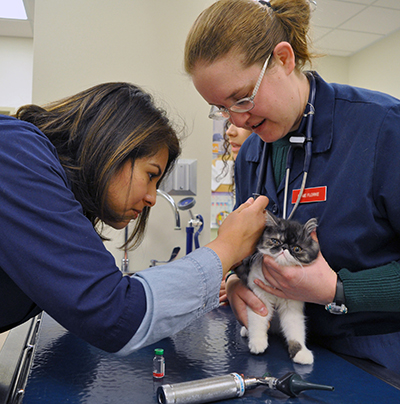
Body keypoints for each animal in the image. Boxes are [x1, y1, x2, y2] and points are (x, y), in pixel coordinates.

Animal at [234, 213, 318, 364]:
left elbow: (296, 329)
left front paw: (301, 352)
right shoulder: (260, 296)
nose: (284, 248)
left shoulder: (292, 305)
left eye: (297, 249)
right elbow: (257, 320)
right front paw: (257, 342)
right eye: (275, 241)